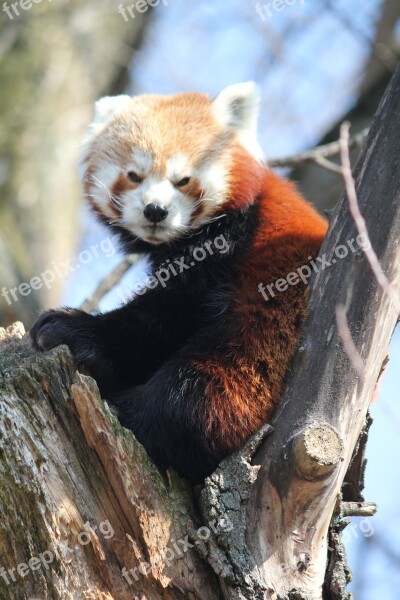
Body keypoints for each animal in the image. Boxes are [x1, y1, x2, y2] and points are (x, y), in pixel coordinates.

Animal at [29, 82, 326, 482]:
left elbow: (163, 314)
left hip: (265, 329)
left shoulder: (231, 244)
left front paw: (74, 329)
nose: (155, 210)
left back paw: (131, 413)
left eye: (182, 180)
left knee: (201, 389)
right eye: (134, 175)